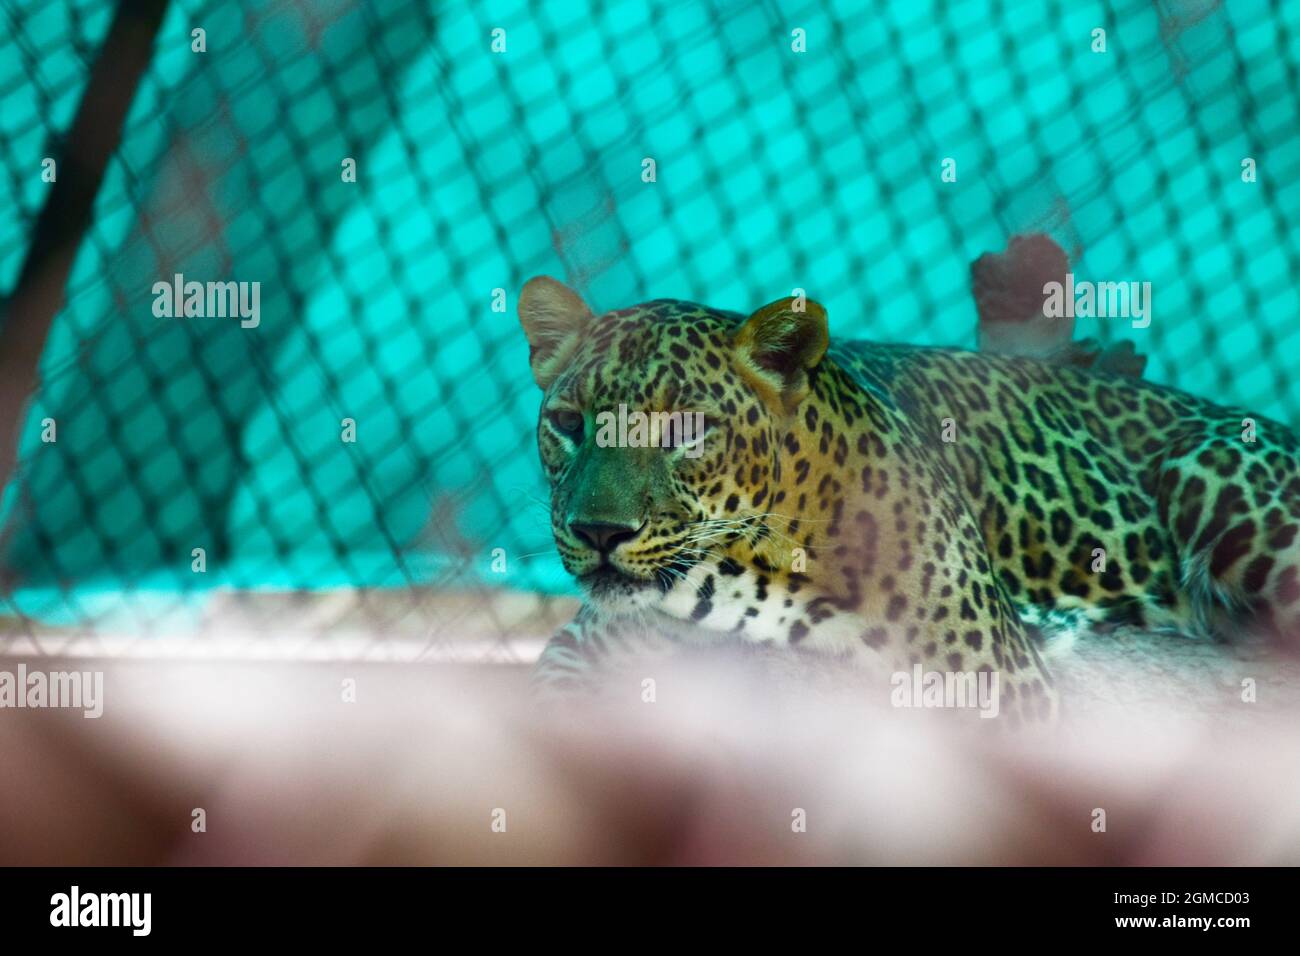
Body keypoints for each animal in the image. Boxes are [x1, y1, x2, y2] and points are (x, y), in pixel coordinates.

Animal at [514, 277, 1300, 723]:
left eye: (685, 430)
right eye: (570, 423)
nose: (599, 531)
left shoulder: (998, 683)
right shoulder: (585, 649)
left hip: (1214, 470)